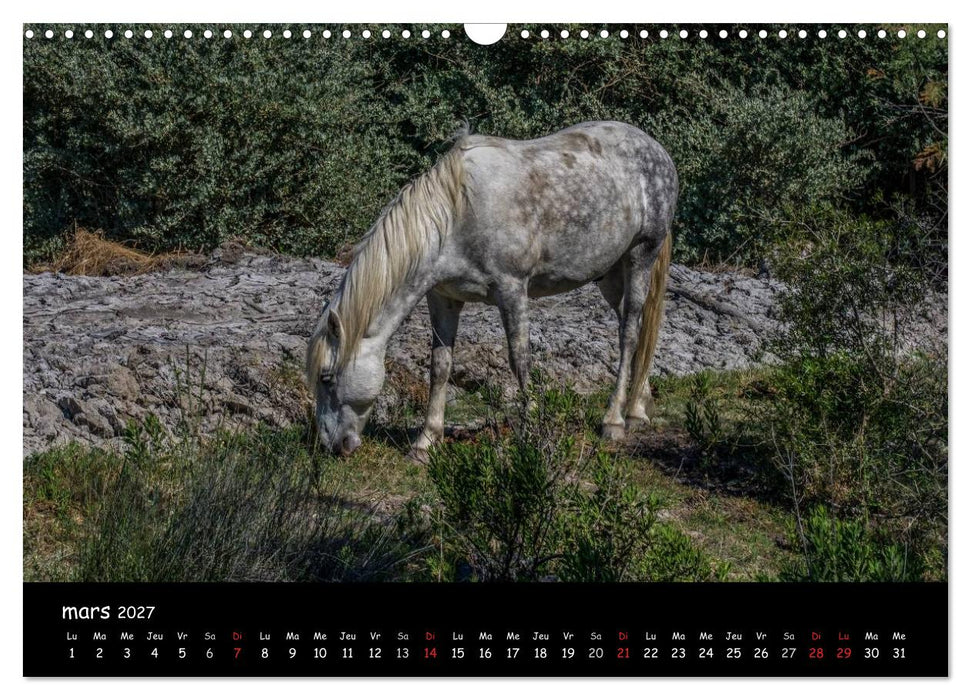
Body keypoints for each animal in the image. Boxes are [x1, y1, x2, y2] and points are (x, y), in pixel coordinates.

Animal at [307, 121, 678, 458]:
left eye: (326, 377)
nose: (332, 445)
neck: (456, 214)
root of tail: (657, 150)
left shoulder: (512, 289)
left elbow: (519, 360)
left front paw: (531, 432)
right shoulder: (443, 298)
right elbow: (440, 367)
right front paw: (426, 442)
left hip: (641, 256)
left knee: (629, 333)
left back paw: (614, 420)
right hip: (611, 276)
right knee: (634, 328)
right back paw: (638, 408)